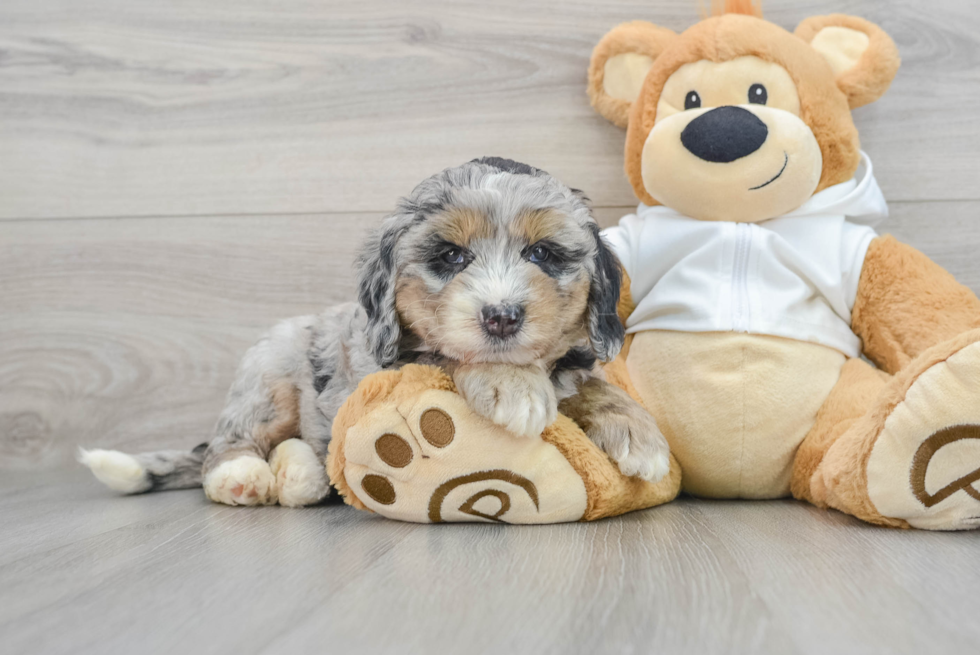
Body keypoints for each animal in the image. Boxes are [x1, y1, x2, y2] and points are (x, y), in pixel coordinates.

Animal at [80, 158, 668, 508]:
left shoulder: (573, 363)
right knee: (228, 441)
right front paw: (514, 386)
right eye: (450, 256)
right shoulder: (396, 362)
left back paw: (302, 474)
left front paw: (638, 433)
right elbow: (451, 356)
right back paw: (243, 476)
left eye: (542, 253)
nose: (501, 316)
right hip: (266, 376)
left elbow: (592, 384)